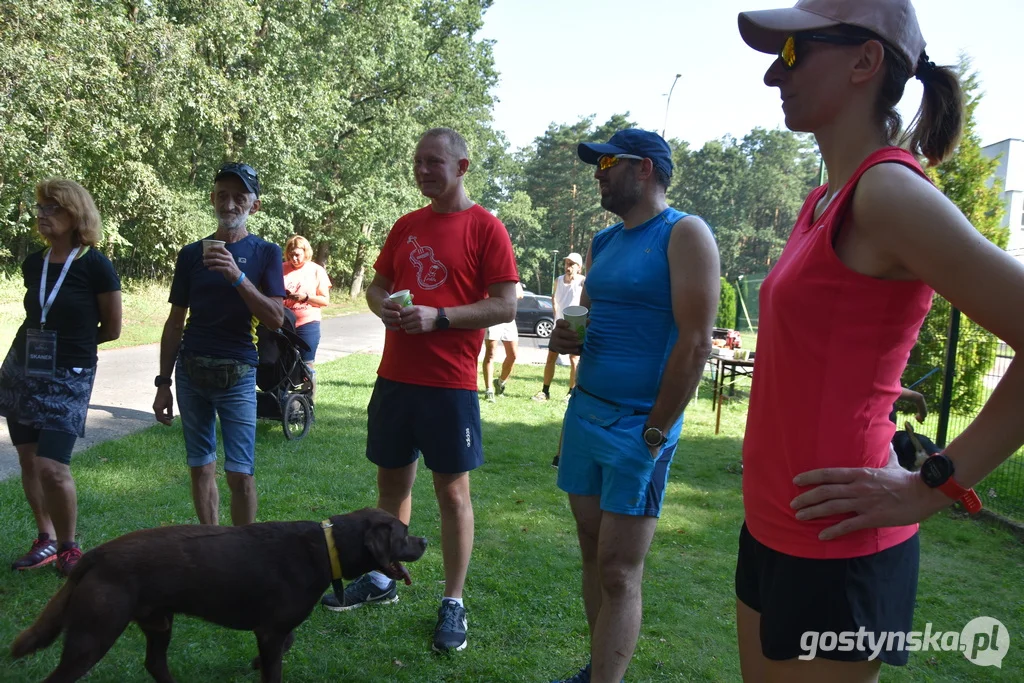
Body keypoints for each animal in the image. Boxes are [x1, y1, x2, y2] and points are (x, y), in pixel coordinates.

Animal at [9, 507, 423, 683]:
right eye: (403, 534)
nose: (424, 541)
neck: (325, 547)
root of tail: (96, 555)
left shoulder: (274, 630)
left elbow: (285, 645)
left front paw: (252, 665)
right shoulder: (269, 631)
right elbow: (275, 666)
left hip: (158, 621)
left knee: (154, 663)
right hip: (95, 633)